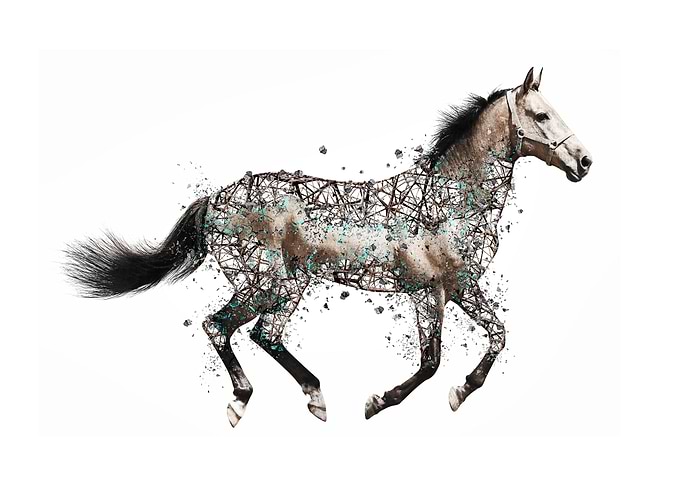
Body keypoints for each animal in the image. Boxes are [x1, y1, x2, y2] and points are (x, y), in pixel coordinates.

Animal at [64, 67, 593, 426]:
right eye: (542, 115)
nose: (584, 162)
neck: (452, 200)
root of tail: (214, 199)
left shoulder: (461, 286)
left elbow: (499, 335)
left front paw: (461, 391)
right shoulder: (427, 292)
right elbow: (430, 361)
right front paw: (378, 402)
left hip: (286, 286)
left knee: (263, 335)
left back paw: (312, 396)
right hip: (267, 283)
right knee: (221, 326)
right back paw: (246, 402)